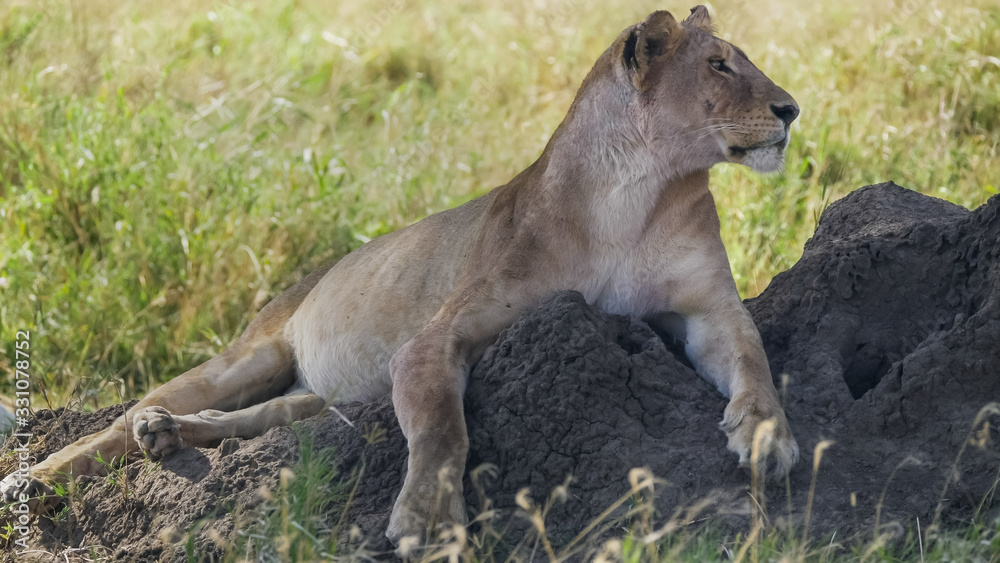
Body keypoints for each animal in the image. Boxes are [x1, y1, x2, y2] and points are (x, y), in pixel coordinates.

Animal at [2, 6, 799, 543]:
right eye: (720, 66)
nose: (791, 109)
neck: (637, 193)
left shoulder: (707, 308)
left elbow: (754, 356)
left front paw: (767, 436)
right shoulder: (435, 338)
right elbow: (443, 427)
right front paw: (428, 517)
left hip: (327, 400)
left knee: (264, 421)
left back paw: (166, 435)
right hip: (250, 355)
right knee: (116, 427)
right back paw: (44, 476)